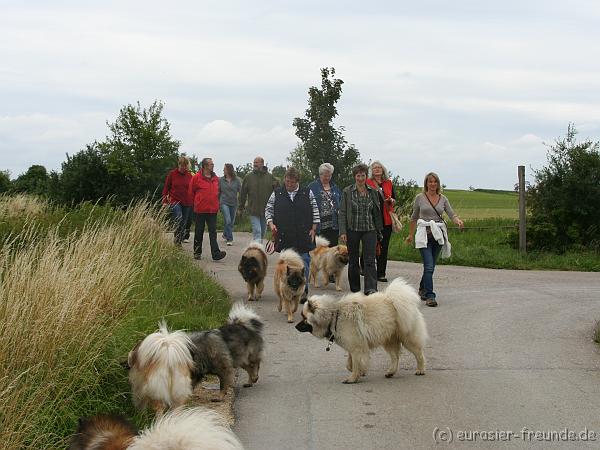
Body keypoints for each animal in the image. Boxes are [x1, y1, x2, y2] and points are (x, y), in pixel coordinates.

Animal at [296, 278, 426, 384]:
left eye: (304, 317)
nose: (296, 327)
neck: (334, 316)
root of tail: (393, 300)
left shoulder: (357, 348)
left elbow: (355, 364)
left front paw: (352, 379)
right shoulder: (353, 347)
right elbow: (350, 364)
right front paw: (361, 372)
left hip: (407, 338)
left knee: (419, 354)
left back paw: (420, 370)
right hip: (388, 339)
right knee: (395, 357)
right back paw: (391, 372)